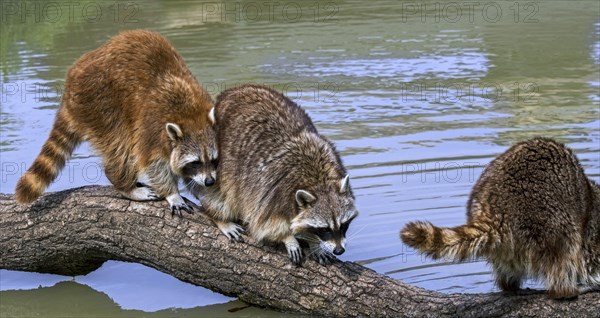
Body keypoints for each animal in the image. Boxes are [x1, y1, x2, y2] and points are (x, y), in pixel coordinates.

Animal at [15, 29, 218, 215]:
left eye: (214, 160)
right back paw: (124, 184)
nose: (210, 182)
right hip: (101, 104)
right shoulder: (152, 128)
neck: (191, 115)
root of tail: (70, 86)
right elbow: (154, 164)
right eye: (195, 162)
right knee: (122, 148)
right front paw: (172, 193)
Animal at [189, 83, 356, 264]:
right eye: (325, 229)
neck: (318, 181)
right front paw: (288, 238)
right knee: (219, 194)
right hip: (218, 164)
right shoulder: (273, 189)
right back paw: (220, 218)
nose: (339, 250)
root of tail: (235, 90)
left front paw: (313, 243)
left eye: (344, 225)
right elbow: (265, 223)